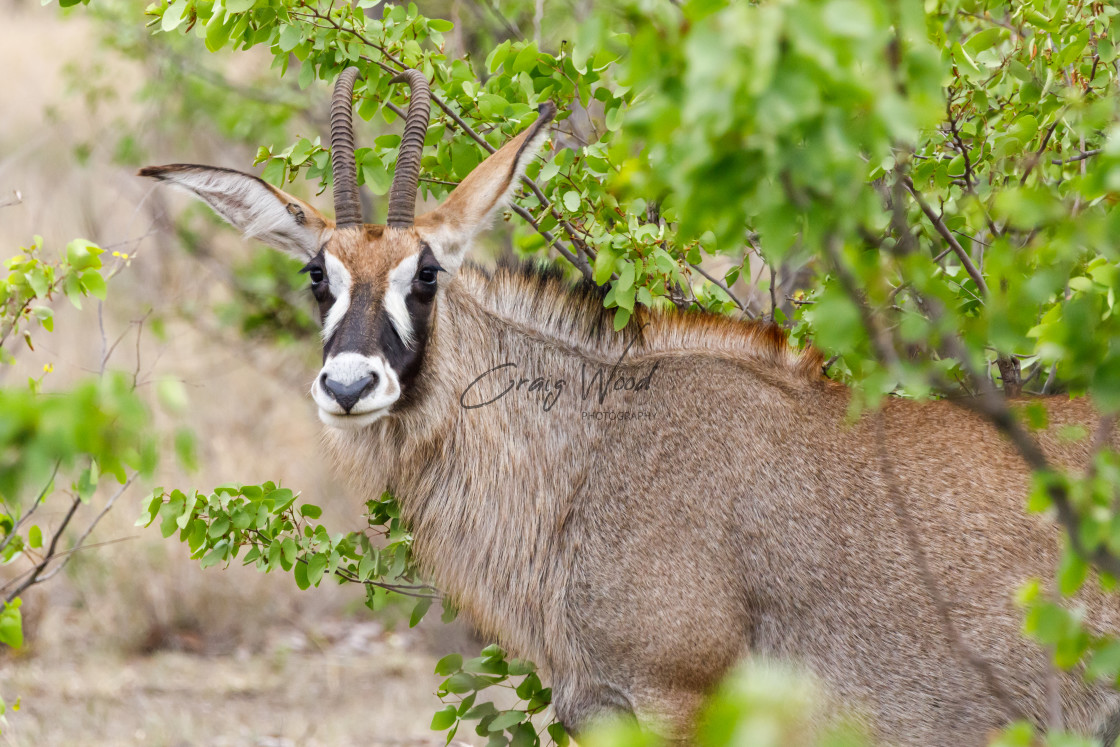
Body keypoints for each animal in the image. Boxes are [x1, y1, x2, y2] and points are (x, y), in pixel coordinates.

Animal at [142, 67, 1120, 743]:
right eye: (318, 274)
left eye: (426, 274)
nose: (349, 386)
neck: (591, 452)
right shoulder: (605, 706)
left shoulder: (678, 694)